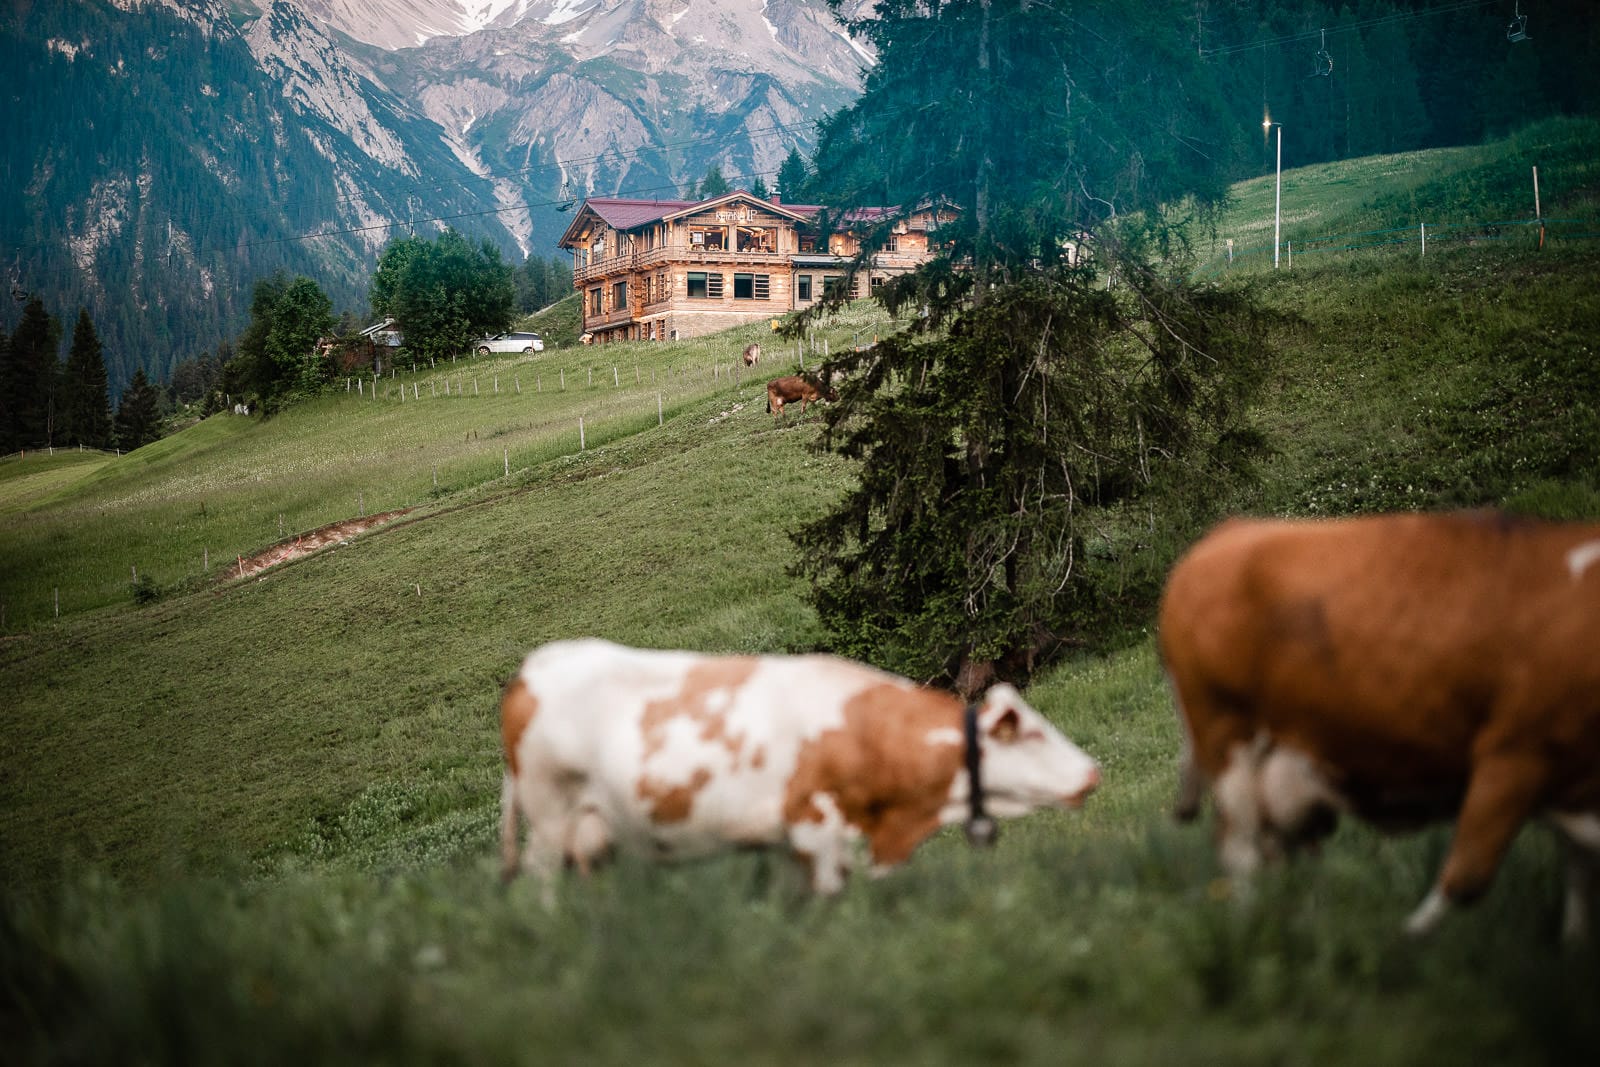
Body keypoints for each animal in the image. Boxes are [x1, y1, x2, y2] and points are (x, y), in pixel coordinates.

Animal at [499, 643, 1100, 902]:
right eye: (1029, 733)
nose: (1092, 772)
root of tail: (535, 667)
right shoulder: (815, 824)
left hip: (590, 833)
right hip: (550, 817)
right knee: (541, 879)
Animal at [1158, 511, 1600, 940]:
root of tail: (1230, 530)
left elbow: (1578, 868)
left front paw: (1573, 945)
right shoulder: (1516, 753)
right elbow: (1466, 877)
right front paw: (1400, 944)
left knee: (1278, 852)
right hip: (1228, 742)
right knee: (1243, 854)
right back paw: (1259, 930)